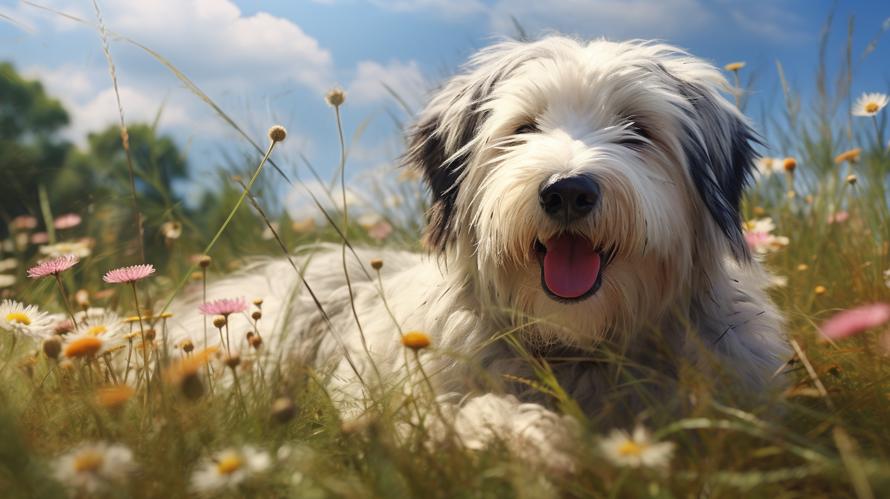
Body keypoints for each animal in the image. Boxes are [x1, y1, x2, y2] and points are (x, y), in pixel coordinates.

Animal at [170, 35, 788, 464]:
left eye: (636, 129)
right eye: (524, 127)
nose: (567, 190)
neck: (575, 348)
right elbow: (475, 417)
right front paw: (532, 441)